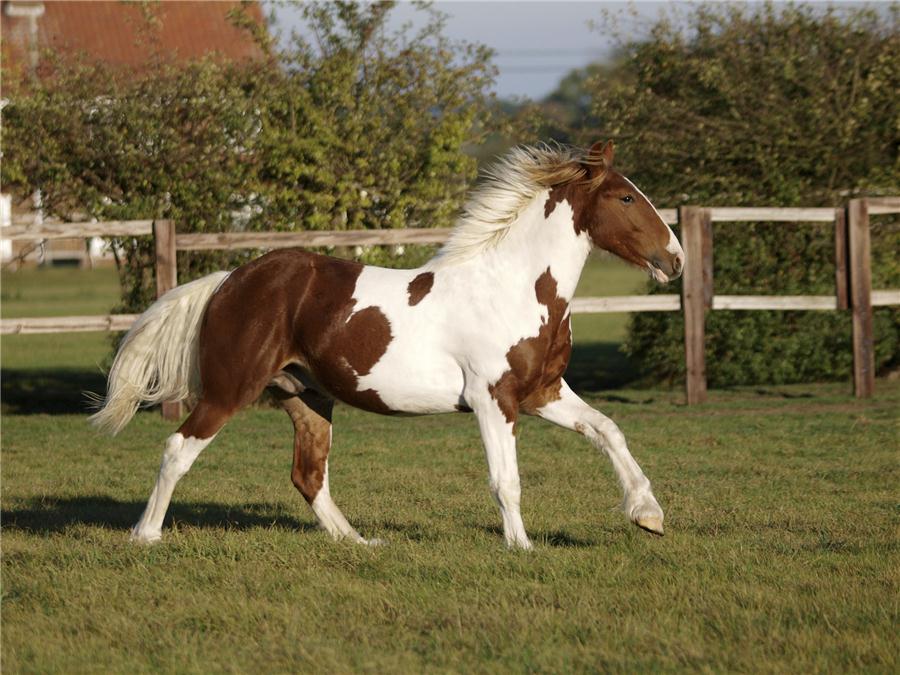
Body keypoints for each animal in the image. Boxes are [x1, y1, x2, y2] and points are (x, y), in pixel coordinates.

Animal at [91, 140, 684, 550]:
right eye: (626, 197)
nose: (675, 260)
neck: (512, 287)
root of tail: (228, 281)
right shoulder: (493, 399)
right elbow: (506, 479)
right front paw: (523, 547)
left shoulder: (542, 392)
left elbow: (608, 430)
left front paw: (648, 515)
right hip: (230, 388)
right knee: (178, 448)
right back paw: (145, 536)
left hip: (306, 397)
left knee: (308, 475)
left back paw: (359, 542)